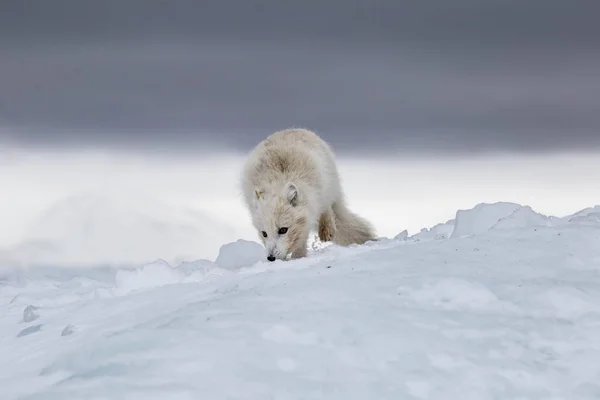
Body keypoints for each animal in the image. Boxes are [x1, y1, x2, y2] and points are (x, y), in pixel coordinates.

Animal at [240, 126, 376, 260]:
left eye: (283, 230)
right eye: (264, 233)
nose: (271, 258)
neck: (279, 182)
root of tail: (292, 128)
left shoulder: (310, 208)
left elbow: (303, 237)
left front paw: (298, 257)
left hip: (328, 186)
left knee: (327, 207)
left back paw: (327, 230)